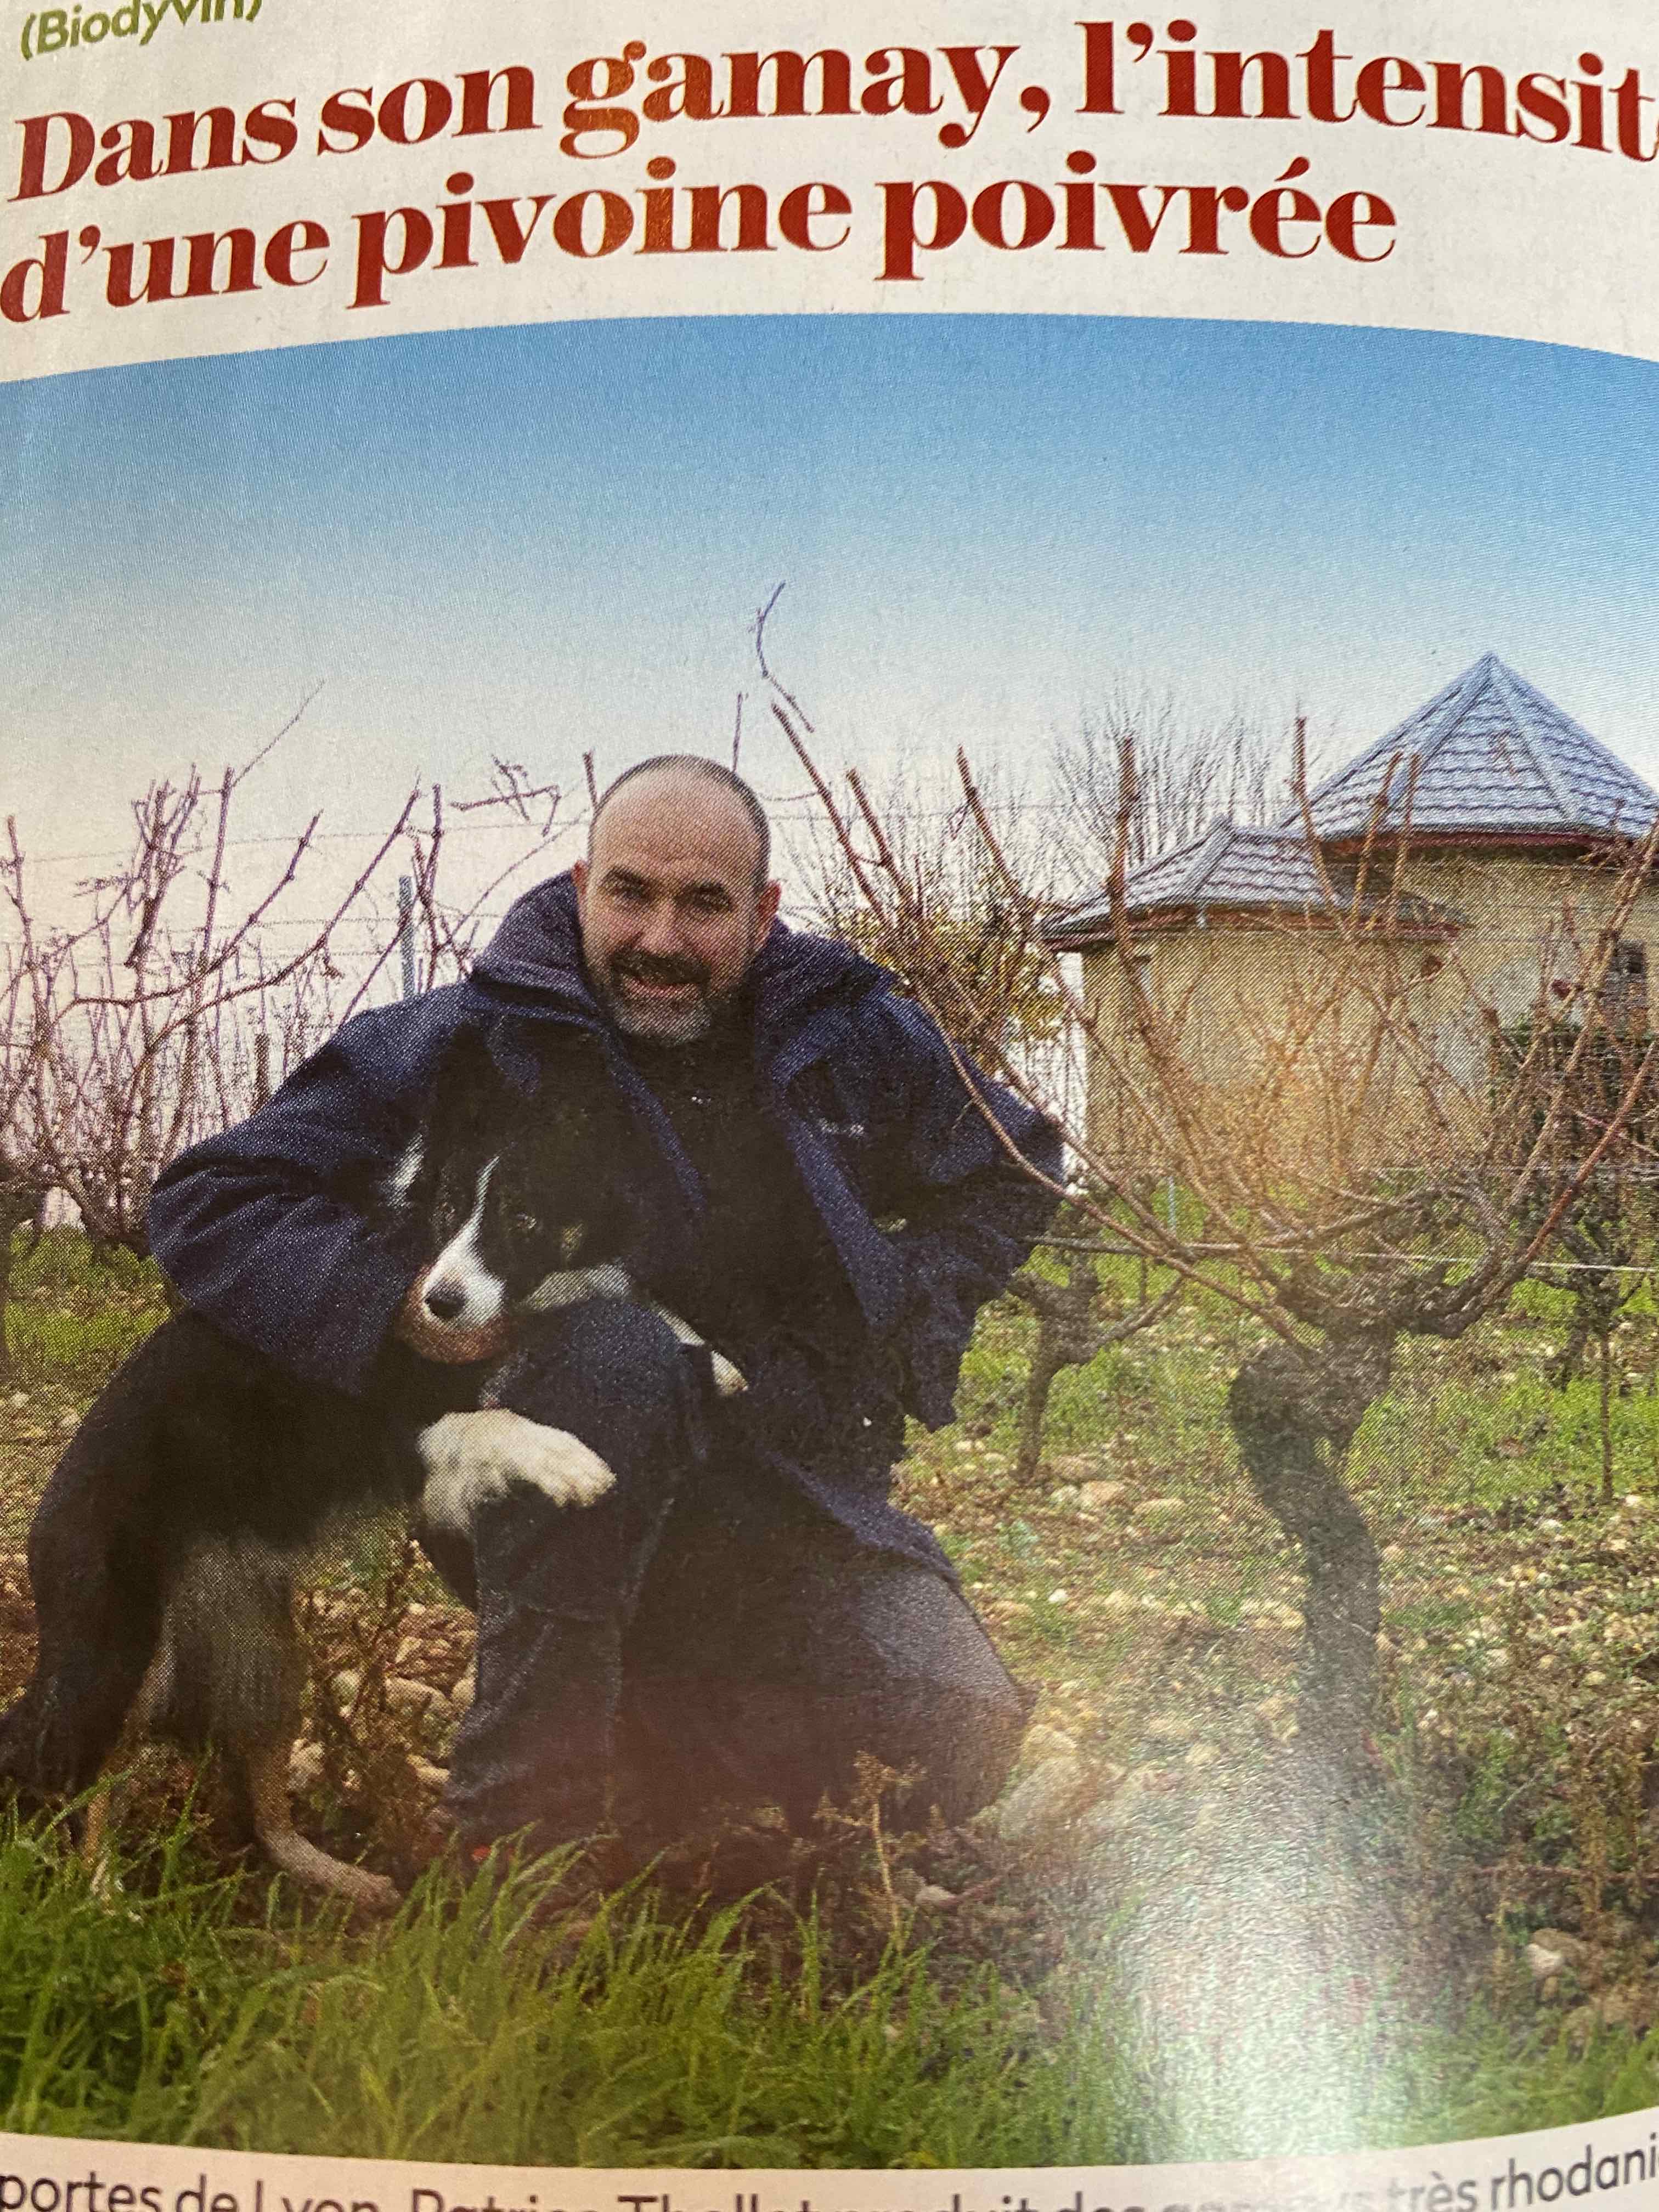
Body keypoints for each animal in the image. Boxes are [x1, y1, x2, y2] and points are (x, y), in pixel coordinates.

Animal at [0, 1026, 734, 1911]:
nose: (441, 1303)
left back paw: (347, 1879)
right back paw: (102, 1890)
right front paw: (568, 1460)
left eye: (522, 1218)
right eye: (451, 1210)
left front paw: (707, 1349)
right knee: (77, 1778)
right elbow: (495, 1417)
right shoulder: (406, 1426)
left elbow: (600, 1297)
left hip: (267, 1662)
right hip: (119, 1658)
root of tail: (50, 1517)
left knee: (259, 1807)